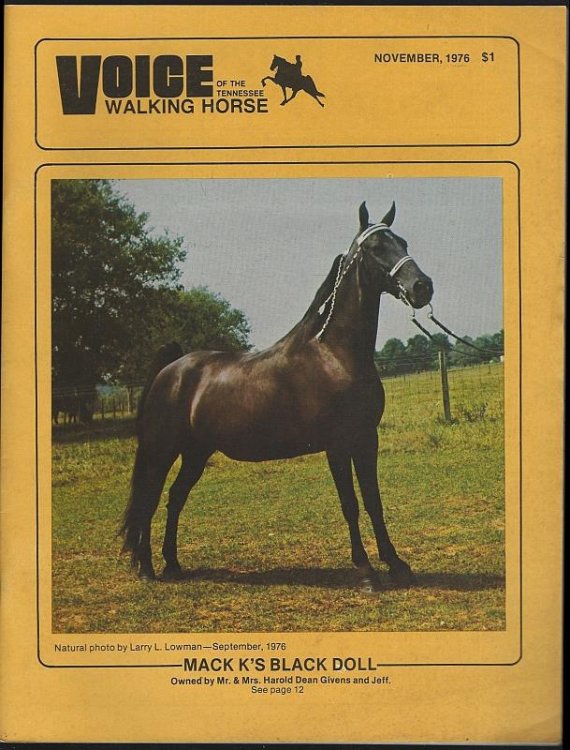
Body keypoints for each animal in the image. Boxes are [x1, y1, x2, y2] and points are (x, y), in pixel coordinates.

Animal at [121, 201, 433, 591]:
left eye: (402, 242)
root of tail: (171, 369)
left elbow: (374, 502)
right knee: (148, 500)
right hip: (162, 451)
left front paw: (396, 564)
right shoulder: (337, 445)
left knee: (175, 498)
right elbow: (350, 504)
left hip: (196, 452)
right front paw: (365, 572)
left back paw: (173, 563)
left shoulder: (365, 439)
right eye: (377, 247)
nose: (422, 287)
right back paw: (147, 568)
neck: (335, 355)